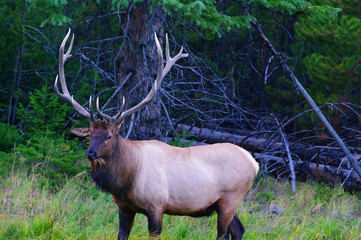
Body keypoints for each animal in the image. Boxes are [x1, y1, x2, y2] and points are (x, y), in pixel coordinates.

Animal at [54, 29, 258, 239]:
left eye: (109, 136)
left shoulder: (156, 205)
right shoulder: (124, 207)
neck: (126, 180)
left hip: (231, 197)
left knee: (224, 234)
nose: (91, 153)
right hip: (223, 203)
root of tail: (254, 163)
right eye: (89, 134)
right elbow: (122, 234)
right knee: (239, 229)